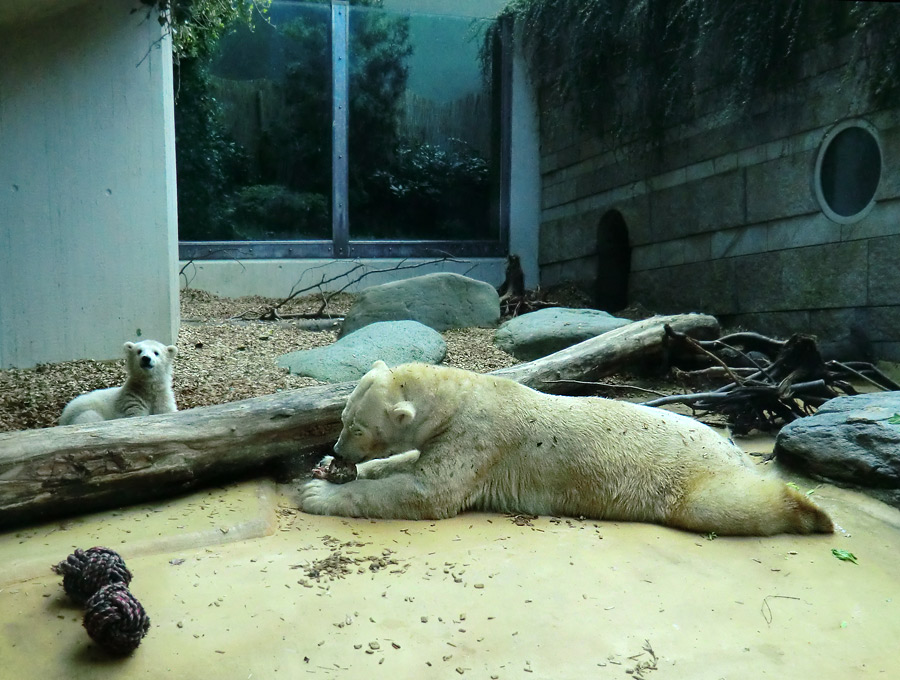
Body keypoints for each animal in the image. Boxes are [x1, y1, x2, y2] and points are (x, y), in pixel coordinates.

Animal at [302, 362, 836, 536]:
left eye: (353, 426)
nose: (337, 447)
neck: (461, 397)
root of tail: (731, 448)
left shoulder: (479, 438)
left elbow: (426, 491)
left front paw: (317, 495)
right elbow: (411, 464)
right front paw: (327, 470)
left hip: (690, 472)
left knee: (721, 504)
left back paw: (814, 512)